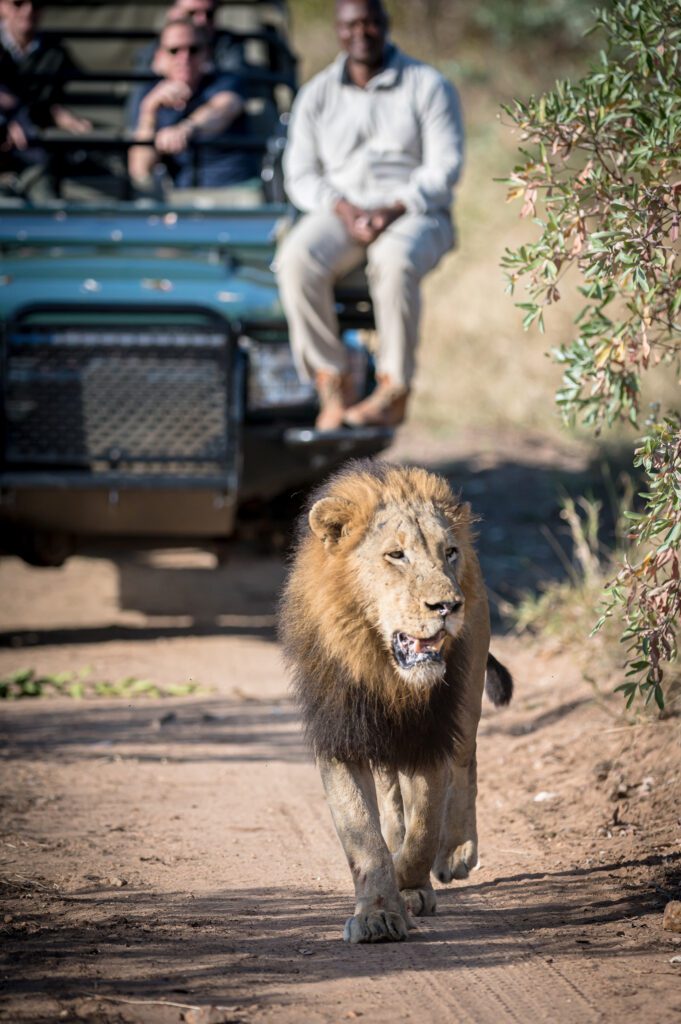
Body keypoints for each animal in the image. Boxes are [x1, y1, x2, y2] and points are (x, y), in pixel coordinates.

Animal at [279, 459, 513, 944]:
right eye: (396, 555)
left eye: (449, 553)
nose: (448, 605)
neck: (383, 669)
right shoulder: (340, 735)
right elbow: (364, 837)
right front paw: (378, 914)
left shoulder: (429, 733)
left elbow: (424, 830)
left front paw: (410, 887)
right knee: (389, 792)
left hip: (467, 697)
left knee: (466, 763)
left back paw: (457, 851)